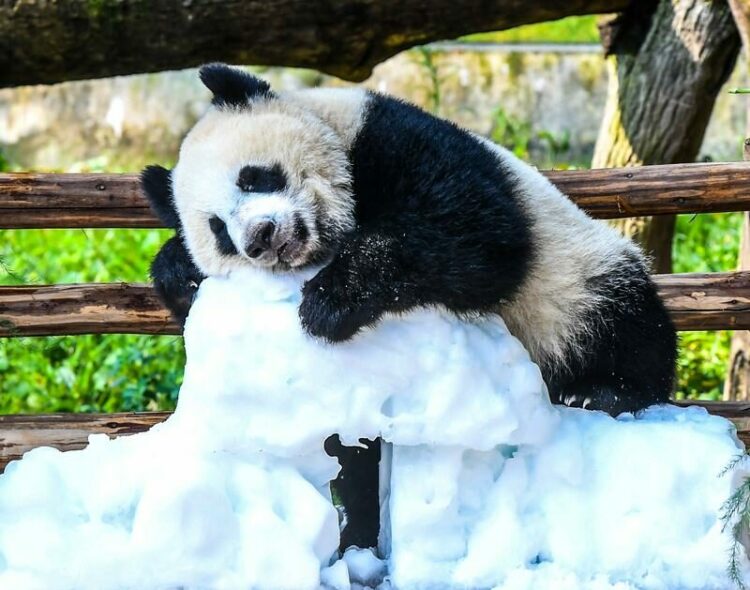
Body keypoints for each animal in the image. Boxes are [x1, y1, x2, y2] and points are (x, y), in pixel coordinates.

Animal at [141, 63, 676, 547]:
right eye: (218, 229)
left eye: (253, 177)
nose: (260, 237)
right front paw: (176, 267)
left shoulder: (391, 139)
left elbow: (474, 234)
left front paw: (327, 301)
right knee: (350, 459)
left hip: (576, 277)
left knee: (624, 322)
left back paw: (603, 391)